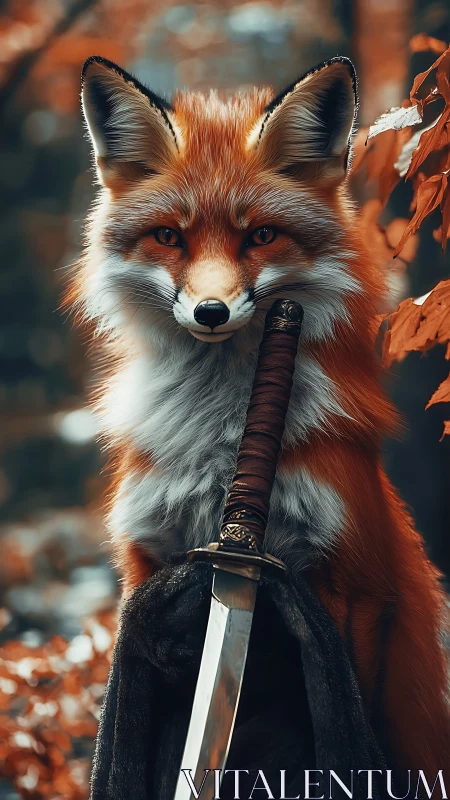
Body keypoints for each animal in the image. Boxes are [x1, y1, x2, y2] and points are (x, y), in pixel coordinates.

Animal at [73, 55, 450, 776]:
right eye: (170, 237)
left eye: (262, 236)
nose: (211, 312)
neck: (224, 447)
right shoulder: (149, 567)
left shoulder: (352, 586)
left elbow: (346, 704)